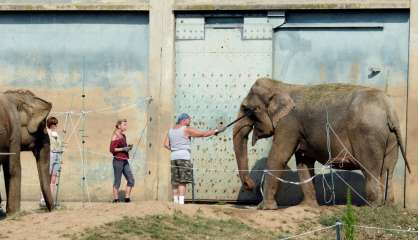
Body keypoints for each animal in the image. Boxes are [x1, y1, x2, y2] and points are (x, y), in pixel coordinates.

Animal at [232, 78, 412, 209]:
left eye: (246, 109)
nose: (250, 185)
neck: (282, 86)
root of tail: (389, 110)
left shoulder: (289, 124)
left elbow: (278, 157)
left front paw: (264, 208)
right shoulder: (299, 130)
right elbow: (304, 163)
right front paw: (307, 206)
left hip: (368, 135)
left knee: (371, 169)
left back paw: (370, 207)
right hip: (391, 138)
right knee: (388, 169)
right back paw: (387, 206)